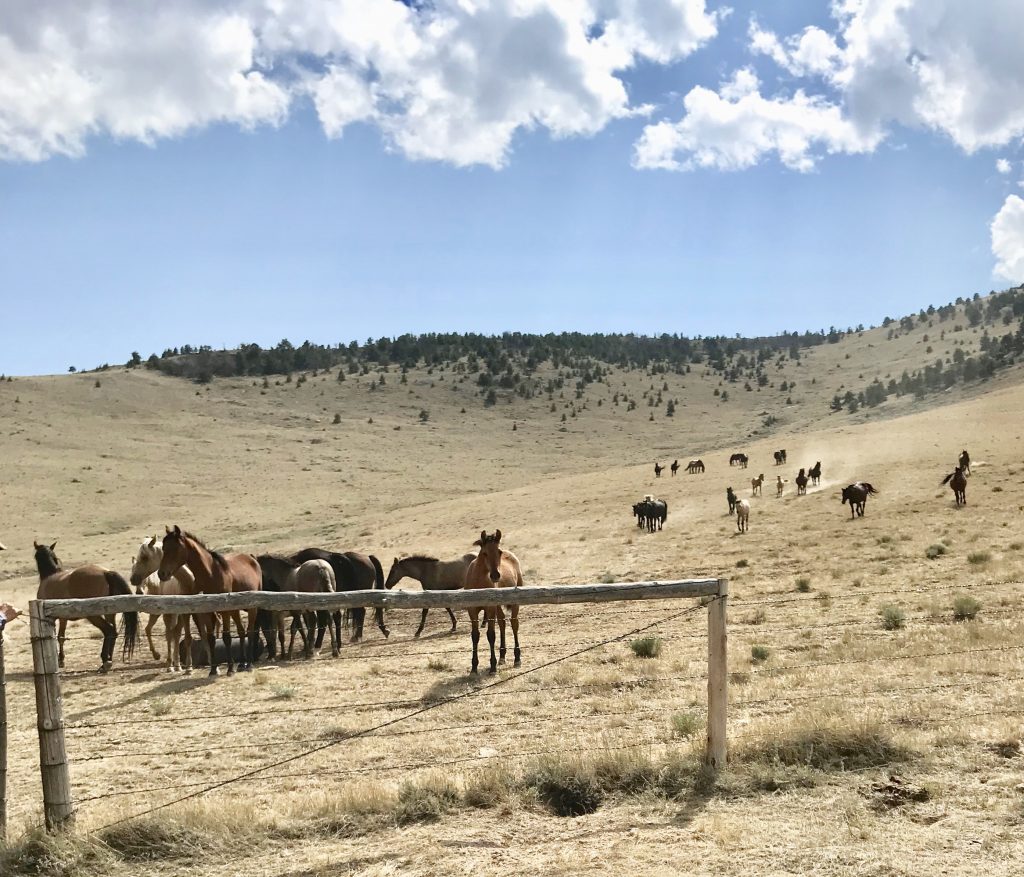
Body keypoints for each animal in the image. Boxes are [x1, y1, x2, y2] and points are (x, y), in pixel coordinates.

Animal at [33, 540, 138, 672]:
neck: (49, 576)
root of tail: (105, 572)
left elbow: (59, 637)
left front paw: (60, 660)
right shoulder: (63, 618)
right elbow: (61, 637)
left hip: (93, 615)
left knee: (108, 630)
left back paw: (105, 661)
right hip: (109, 613)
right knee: (113, 632)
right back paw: (109, 659)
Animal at [130, 532, 197, 672]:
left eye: (144, 557)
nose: (133, 579)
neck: (189, 581)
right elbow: (179, 636)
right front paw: (185, 666)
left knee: (175, 633)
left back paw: (176, 664)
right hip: (169, 614)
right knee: (169, 634)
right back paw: (171, 664)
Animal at [158, 524, 262, 676]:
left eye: (175, 548)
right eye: (163, 548)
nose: (162, 574)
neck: (211, 574)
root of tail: (251, 557)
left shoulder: (224, 611)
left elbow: (226, 637)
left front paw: (230, 668)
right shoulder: (208, 611)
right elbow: (211, 638)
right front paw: (213, 669)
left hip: (251, 609)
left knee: (250, 632)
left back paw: (249, 664)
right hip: (235, 610)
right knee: (242, 632)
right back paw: (242, 663)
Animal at [466, 532, 524, 676]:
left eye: (499, 551)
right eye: (485, 553)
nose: (495, 575)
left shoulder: (490, 608)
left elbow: (491, 635)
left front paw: (492, 667)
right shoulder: (472, 610)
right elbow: (475, 635)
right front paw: (474, 667)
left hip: (515, 603)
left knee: (514, 624)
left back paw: (517, 658)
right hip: (498, 606)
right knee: (502, 623)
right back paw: (502, 656)